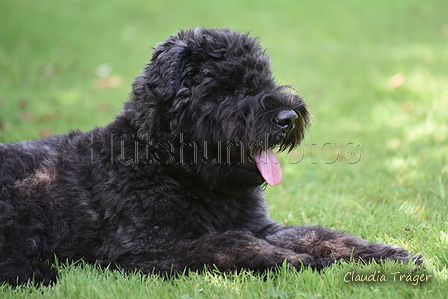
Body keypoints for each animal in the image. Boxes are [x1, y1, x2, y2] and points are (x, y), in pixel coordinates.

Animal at [0, 27, 420, 286]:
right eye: (225, 86)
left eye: (264, 77)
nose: (288, 117)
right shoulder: (142, 248)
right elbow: (226, 243)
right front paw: (291, 260)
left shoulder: (260, 224)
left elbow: (319, 234)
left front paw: (384, 253)